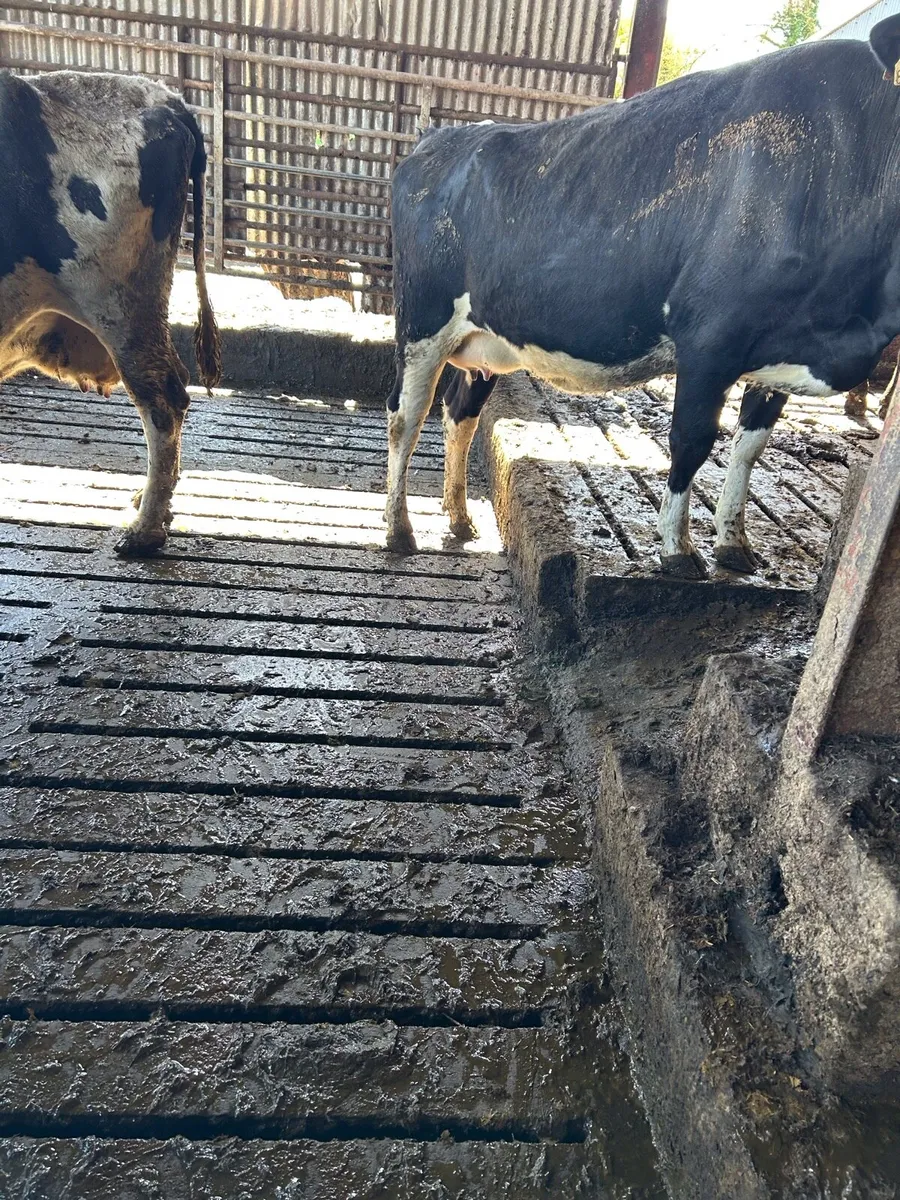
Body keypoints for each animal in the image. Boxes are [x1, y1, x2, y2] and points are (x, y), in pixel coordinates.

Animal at [385, 16, 900, 578]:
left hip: (485, 338)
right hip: (421, 319)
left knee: (460, 411)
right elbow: (691, 442)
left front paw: (734, 544)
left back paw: (459, 519)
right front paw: (678, 549)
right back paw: (399, 530)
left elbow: (748, 449)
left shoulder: (780, 352)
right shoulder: (710, 341)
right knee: (405, 415)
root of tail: (440, 136)